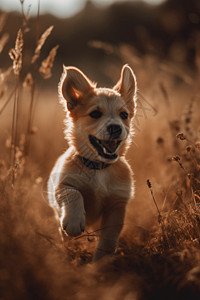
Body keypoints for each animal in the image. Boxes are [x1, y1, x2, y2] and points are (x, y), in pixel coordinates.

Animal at [47, 65, 137, 260]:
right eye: (95, 114)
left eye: (124, 115)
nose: (115, 128)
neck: (99, 168)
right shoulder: (62, 185)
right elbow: (73, 193)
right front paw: (73, 222)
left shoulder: (117, 204)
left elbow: (108, 239)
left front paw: (101, 261)